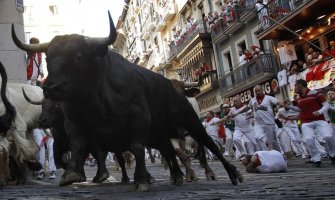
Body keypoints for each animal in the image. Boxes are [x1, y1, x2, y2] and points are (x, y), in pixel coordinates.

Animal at [11, 11, 243, 191]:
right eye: (48, 57)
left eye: (78, 56)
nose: (50, 87)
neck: (94, 99)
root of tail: (175, 87)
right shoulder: (76, 125)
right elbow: (77, 148)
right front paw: (72, 174)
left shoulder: (138, 120)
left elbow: (136, 147)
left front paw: (141, 180)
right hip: (159, 134)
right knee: (171, 151)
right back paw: (177, 177)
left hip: (190, 121)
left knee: (208, 144)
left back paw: (231, 173)